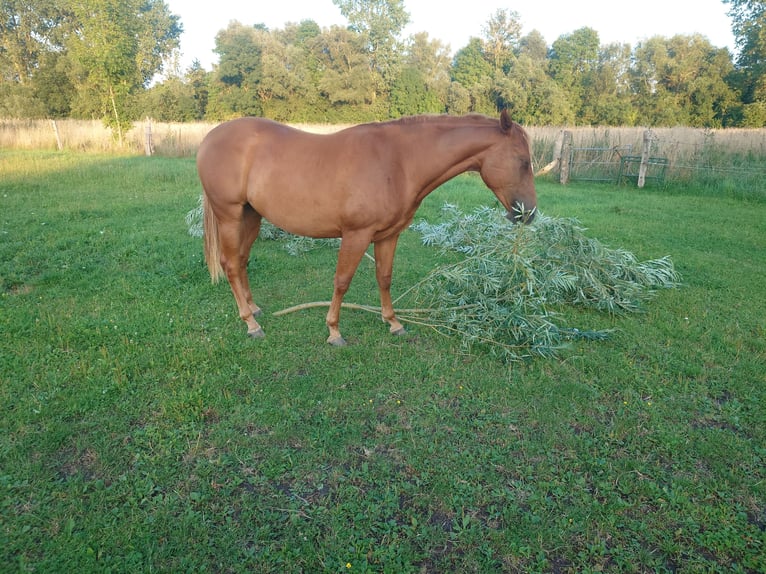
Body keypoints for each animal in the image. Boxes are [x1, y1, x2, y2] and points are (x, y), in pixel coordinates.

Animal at [197, 110, 537, 346]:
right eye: (522, 160)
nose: (529, 214)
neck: (399, 161)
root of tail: (210, 138)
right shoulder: (356, 235)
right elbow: (342, 282)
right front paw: (334, 331)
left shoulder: (388, 235)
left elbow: (384, 278)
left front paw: (394, 323)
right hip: (229, 216)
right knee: (230, 264)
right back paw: (251, 324)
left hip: (251, 216)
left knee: (241, 261)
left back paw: (253, 309)